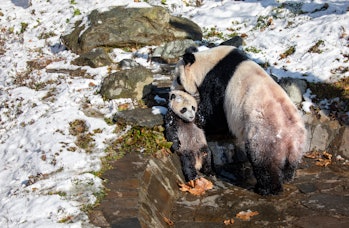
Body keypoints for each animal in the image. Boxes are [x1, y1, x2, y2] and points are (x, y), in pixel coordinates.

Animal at [173, 45, 306, 195]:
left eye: (178, 79)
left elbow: (213, 111)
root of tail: (289, 135)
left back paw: (266, 189)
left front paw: (200, 120)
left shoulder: (216, 82)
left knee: (262, 160)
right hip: (297, 143)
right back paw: (287, 177)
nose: (173, 90)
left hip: (266, 135)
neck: (206, 63)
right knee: (291, 163)